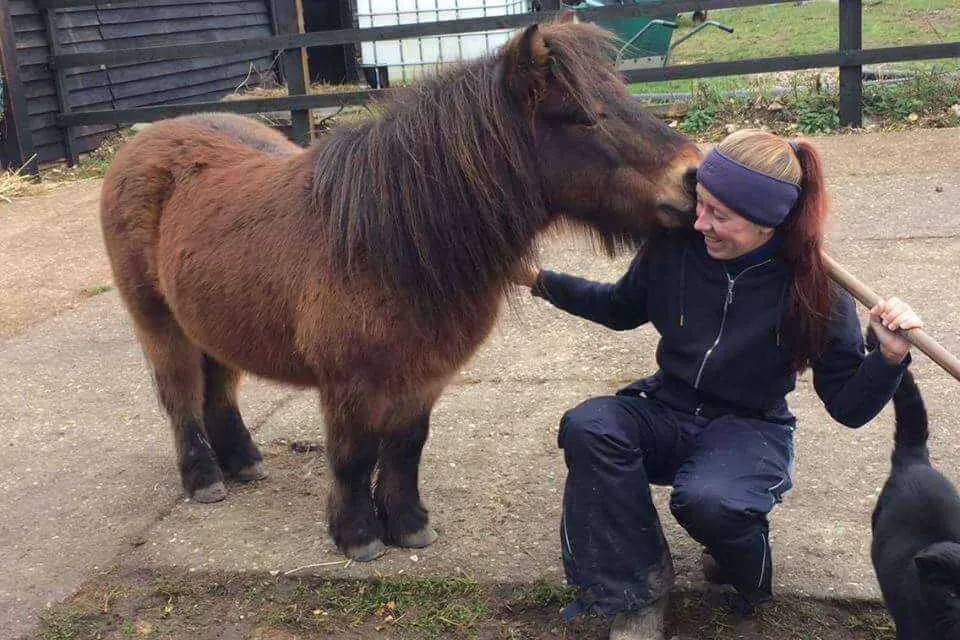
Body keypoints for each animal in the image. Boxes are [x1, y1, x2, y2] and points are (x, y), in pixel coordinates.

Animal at [99, 19, 701, 561]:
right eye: (579, 115)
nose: (693, 177)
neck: (385, 239)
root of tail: (145, 141)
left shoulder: (422, 377)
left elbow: (406, 448)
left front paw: (409, 525)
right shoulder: (348, 385)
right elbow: (353, 456)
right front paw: (358, 536)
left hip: (210, 321)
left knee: (219, 389)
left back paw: (243, 461)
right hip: (159, 323)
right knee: (180, 395)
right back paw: (203, 478)